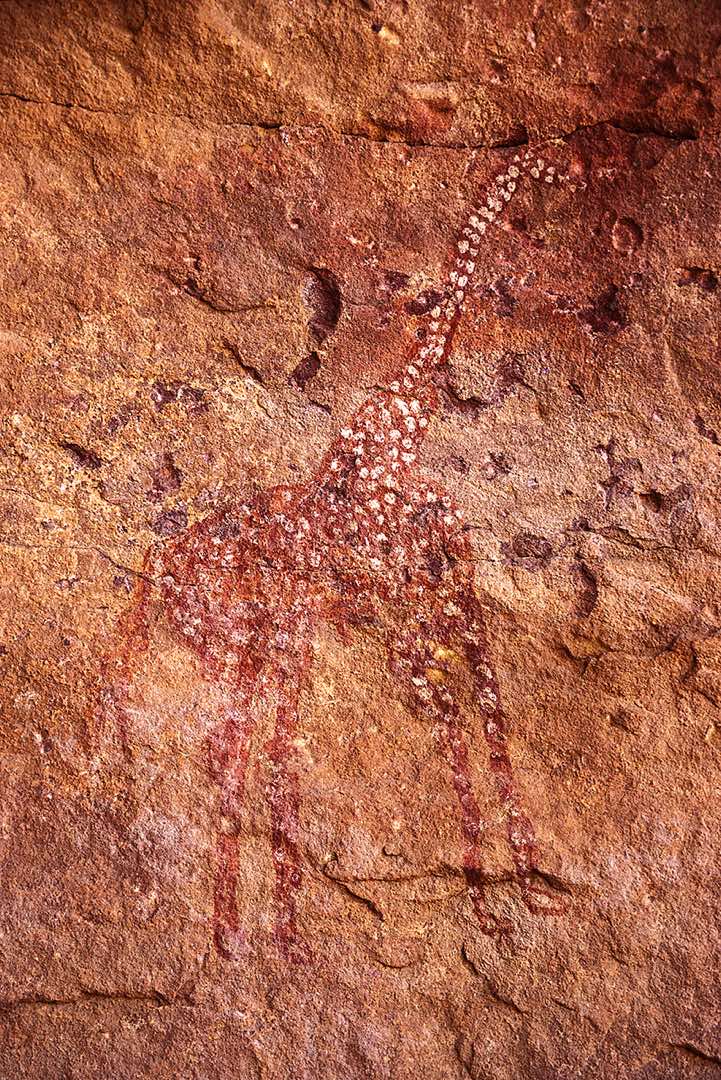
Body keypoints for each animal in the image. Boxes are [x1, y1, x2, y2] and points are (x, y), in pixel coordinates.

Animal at [105, 146, 568, 963]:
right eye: (544, 167)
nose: (571, 174)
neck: (400, 427)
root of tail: (158, 574)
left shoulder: (433, 592)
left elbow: (480, 709)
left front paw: (511, 895)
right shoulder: (404, 607)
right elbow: (461, 714)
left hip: (248, 641)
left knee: (233, 745)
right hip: (253, 637)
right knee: (245, 748)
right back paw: (257, 932)